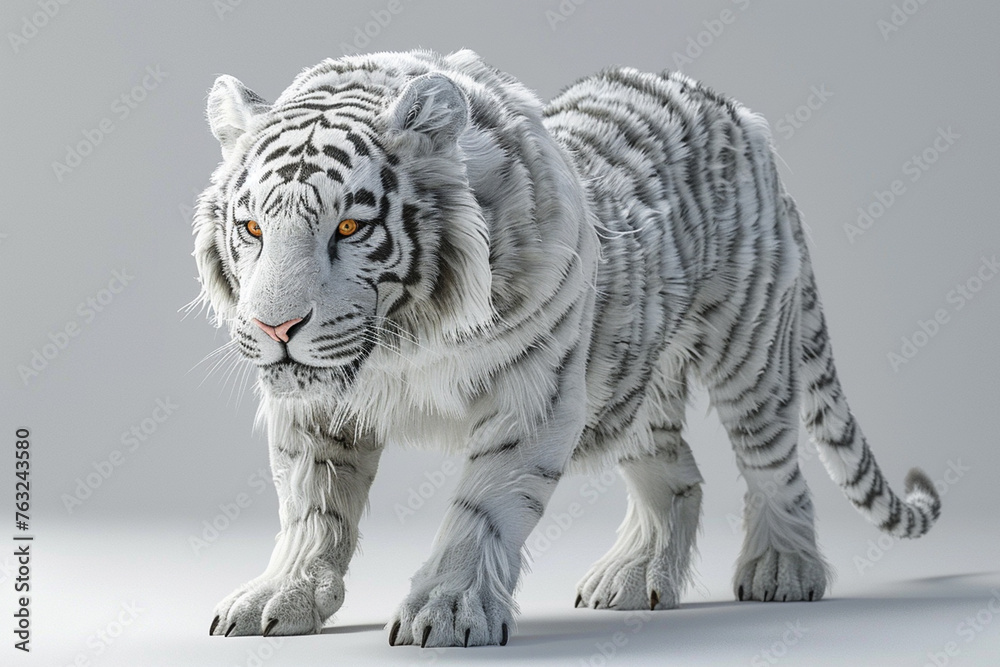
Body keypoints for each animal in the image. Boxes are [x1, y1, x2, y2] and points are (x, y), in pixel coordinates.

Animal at [192, 48, 941, 647]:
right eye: (252, 227)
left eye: (348, 226)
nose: (275, 330)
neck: (405, 339)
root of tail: (740, 115)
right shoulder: (312, 410)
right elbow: (310, 508)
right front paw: (279, 596)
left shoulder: (534, 394)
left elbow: (483, 508)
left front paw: (448, 612)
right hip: (627, 383)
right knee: (679, 474)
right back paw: (631, 578)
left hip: (748, 352)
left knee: (774, 467)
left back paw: (782, 572)